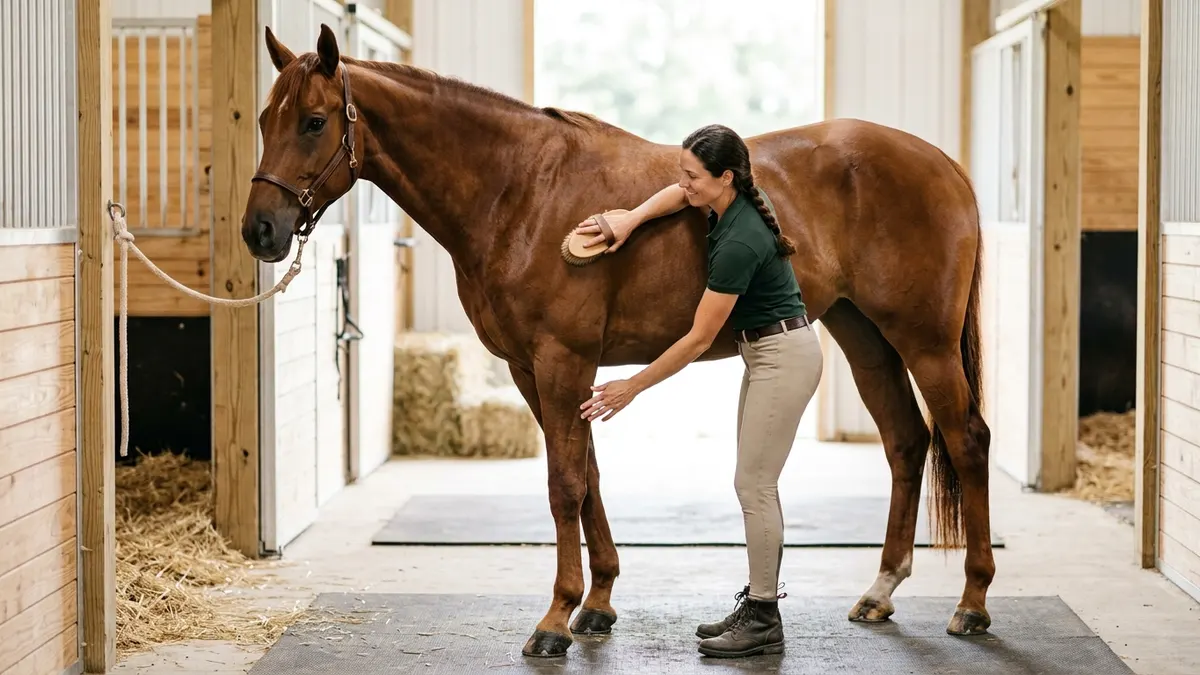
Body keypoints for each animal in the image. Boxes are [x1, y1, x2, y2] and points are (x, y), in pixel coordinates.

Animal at [242, 24, 994, 658]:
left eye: (314, 121)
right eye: (262, 119)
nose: (260, 230)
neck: (519, 189)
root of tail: (946, 165)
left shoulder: (562, 360)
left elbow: (563, 485)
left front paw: (554, 619)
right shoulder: (536, 370)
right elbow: (589, 478)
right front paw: (596, 604)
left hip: (924, 342)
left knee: (965, 439)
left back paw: (973, 602)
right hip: (862, 333)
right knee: (906, 441)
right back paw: (881, 590)